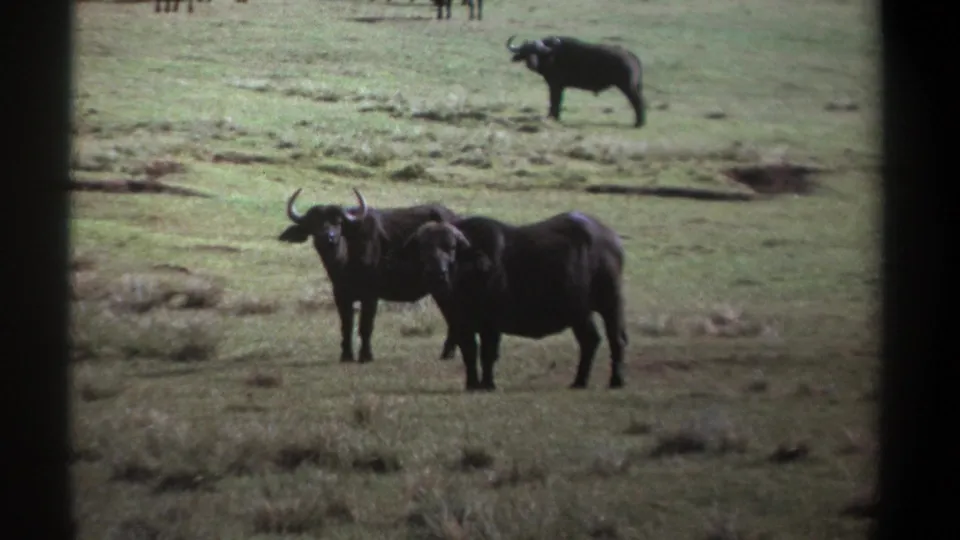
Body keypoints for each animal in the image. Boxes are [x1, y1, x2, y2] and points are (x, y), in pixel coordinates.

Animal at [279, 187, 460, 363]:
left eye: (338, 222)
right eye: (313, 223)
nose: (327, 237)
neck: (346, 259)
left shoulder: (371, 295)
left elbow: (365, 326)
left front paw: (366, 355)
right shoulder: (340, 295)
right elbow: (346, 325)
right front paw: (346, 355)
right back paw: (447, 352)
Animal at [400, 212, 628, 391]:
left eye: (452, 247)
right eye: (423, 248)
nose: (437, 272)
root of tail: (612, 239)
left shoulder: (491, 323)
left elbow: (488, 352)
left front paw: (488, 384)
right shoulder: (461, 323)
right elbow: (469, 352)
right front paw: (472, 384)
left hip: (609, 303)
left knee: (615, 339)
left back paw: (614, 380)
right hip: (580, 312)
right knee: (591, 340)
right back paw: (580, 381)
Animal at [505, 35, 647, 128]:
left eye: (537, 52)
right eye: (525, 51)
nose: (531, 64)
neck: (552, 55)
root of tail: (631, 56)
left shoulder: (555, 85)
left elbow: (554, 100)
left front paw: (552, 116)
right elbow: (557, 101)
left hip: (628, 86)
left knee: (637, 102)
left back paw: (639, 123)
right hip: (636, 86)